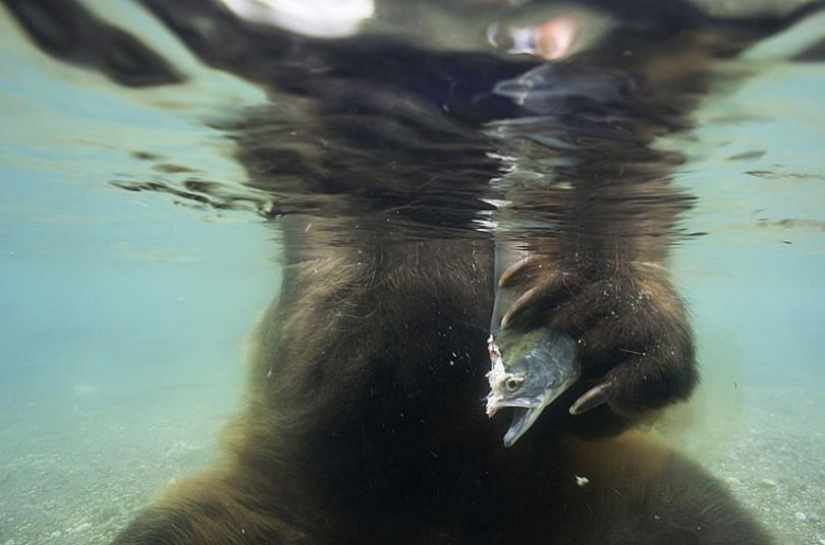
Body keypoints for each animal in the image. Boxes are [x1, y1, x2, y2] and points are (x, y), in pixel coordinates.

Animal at [8, 0, 819, 542]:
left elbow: (608, 392)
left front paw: (598, 313)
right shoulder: (311, 323)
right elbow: (334, 355)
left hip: (624, 505)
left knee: (709, 520)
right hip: (254, 510)